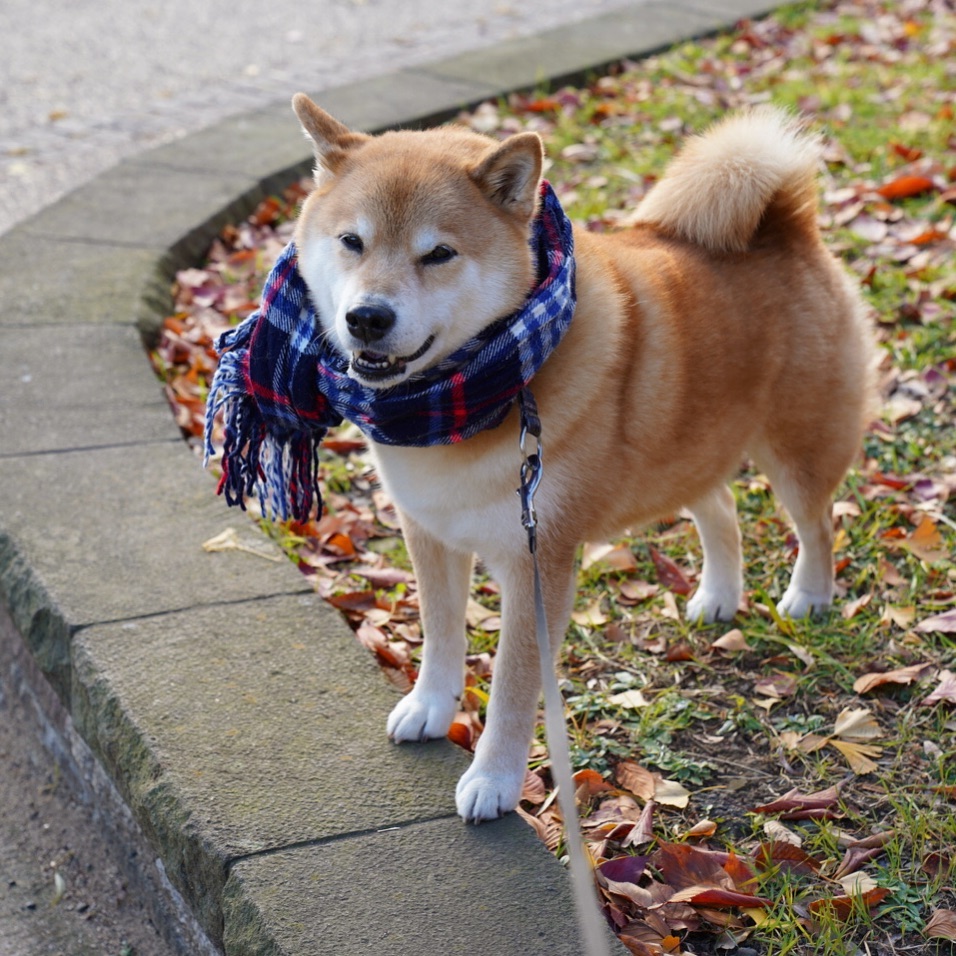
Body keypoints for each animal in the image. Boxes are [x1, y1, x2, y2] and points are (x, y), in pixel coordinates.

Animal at [290, 95, 872, 820]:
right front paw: (430, 707)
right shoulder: (429, 532)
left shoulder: (537, 562)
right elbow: (441, 635)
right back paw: (718, 596)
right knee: (723, 510)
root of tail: (785, 227)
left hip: (796, 449)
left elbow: (512, 687)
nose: (368, 317)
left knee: (817, 524)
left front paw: (495, 780)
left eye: (439, 254)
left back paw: (809, 596)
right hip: (686, 451)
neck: (465, 397)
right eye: (352, 242)